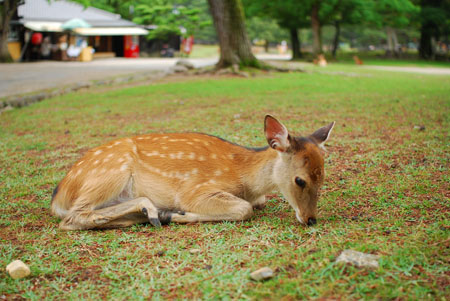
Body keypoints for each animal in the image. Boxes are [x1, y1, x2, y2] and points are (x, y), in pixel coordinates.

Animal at [51, 115, 334, 230]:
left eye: (322, 178)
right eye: (299, 180)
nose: (311, 219)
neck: (245, 176)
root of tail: (58, 196)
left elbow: (257, 203)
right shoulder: (195, 189)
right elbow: (245, 209)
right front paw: (179, 215)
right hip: (111, 171)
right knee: (72, 218)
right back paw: (154, 212)